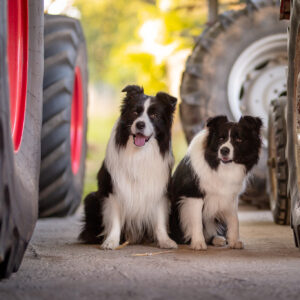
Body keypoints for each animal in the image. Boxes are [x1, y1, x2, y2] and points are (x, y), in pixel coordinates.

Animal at [79, 85, 178, 250]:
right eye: (135, 112)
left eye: (154, 115)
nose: (140, 124)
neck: (139, 153)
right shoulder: (113, 190)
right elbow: (115, 219)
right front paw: (111, 241)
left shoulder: (160, 190)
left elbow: (159, 219)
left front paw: (165, 240)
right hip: (91, 198)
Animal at [170, 116, 262, 250]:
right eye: (221, 138)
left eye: (239, 139)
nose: (224, 150)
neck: (220, 167)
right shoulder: (193, 195)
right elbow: (196, 220)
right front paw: (198, 242)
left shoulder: (230, 196)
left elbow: (234, 219)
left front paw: (234, 241)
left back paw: (217, 239)